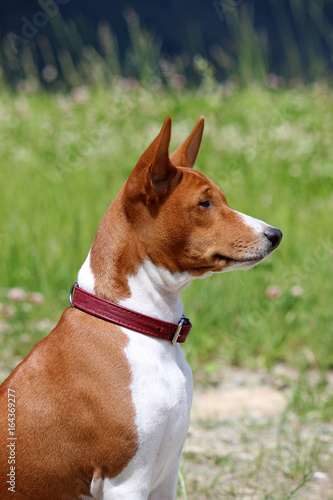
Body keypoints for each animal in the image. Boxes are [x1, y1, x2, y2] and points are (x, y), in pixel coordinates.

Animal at [0, 116, 282, 496]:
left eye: (222, 199)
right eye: (204, 204)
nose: (275, 234)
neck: (137, 325)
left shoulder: (165, 474)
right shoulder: (127, 480)